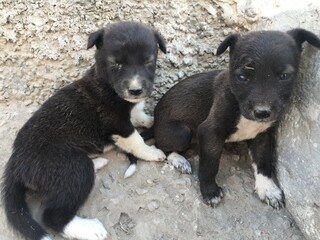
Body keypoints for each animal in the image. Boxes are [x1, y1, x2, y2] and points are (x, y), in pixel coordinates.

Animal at [2, 21, 166, 240]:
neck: (106, 83)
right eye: (116, 63)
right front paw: (152, 153)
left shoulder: (132, 111)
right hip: (71, 168)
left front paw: (151, 120)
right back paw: (88, 228)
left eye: (148, 61)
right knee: (53, 217)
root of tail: (16, 164)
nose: (135, 90)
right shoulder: (117, 124)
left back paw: (97, 162)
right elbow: (136, 141)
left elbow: (139, 114)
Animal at [153, 28, 320, 208]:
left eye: (284, 76)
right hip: (181, 133)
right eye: (241, 77)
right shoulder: (210, 132)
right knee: (161, 146)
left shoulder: (262, 136)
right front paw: (210, 191)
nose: (262, 112)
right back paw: (178, 160)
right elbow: (209, 165)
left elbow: (263, 162)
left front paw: (268, 189)